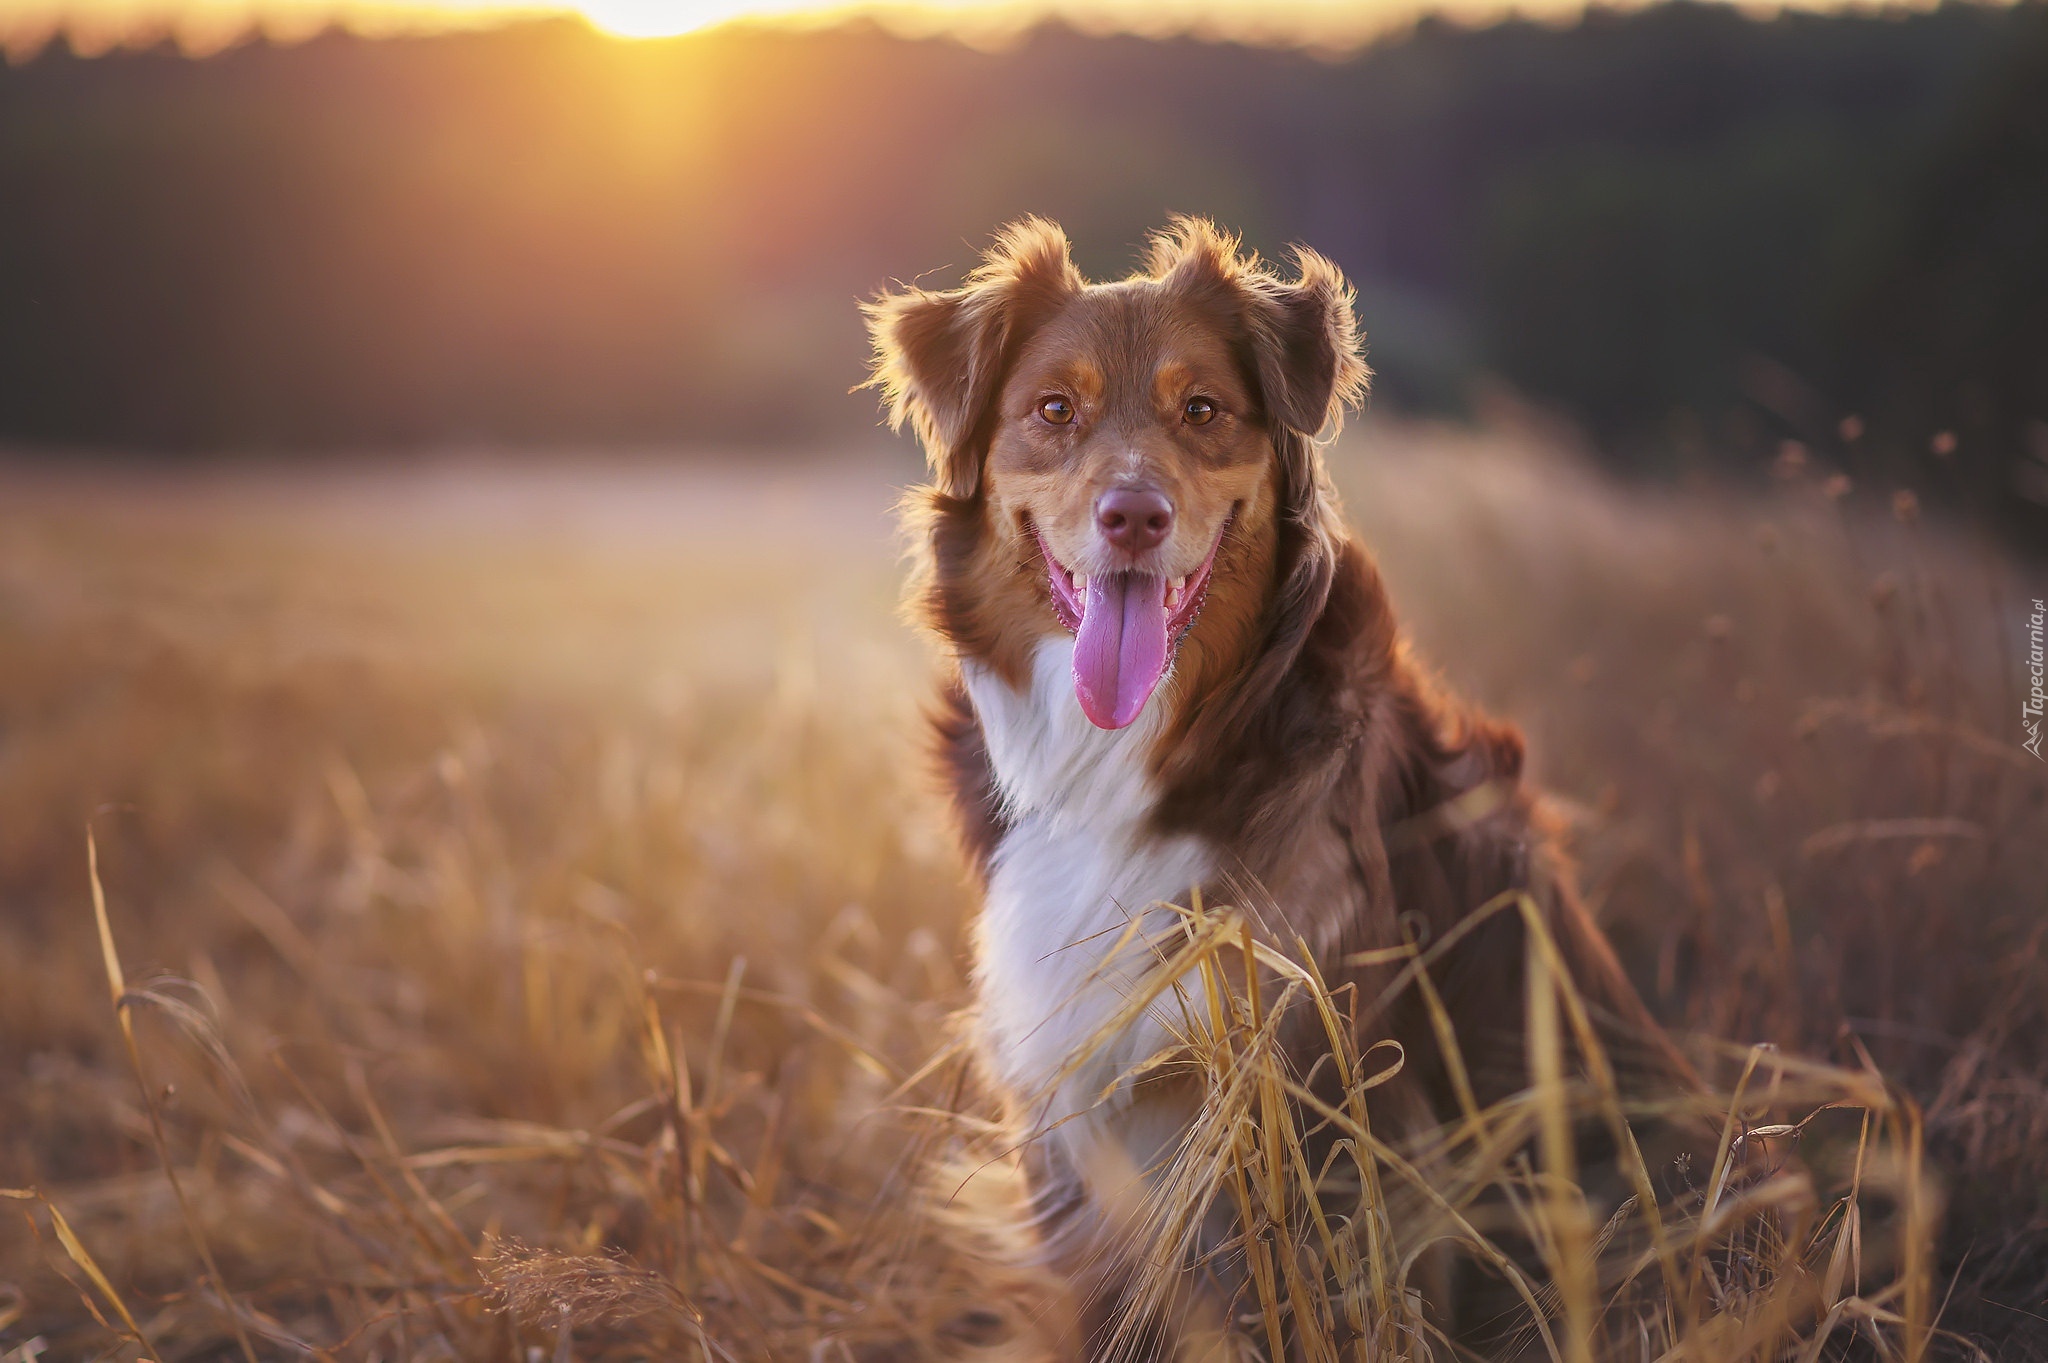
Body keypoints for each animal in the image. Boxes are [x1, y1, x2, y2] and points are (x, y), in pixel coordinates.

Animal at [872, 217, 1687, 1350]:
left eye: (1202, 410)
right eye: (1054, 410)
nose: (1133, 516)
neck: (1129, 762)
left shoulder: (1319, 1107)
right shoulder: (1073, 1121)